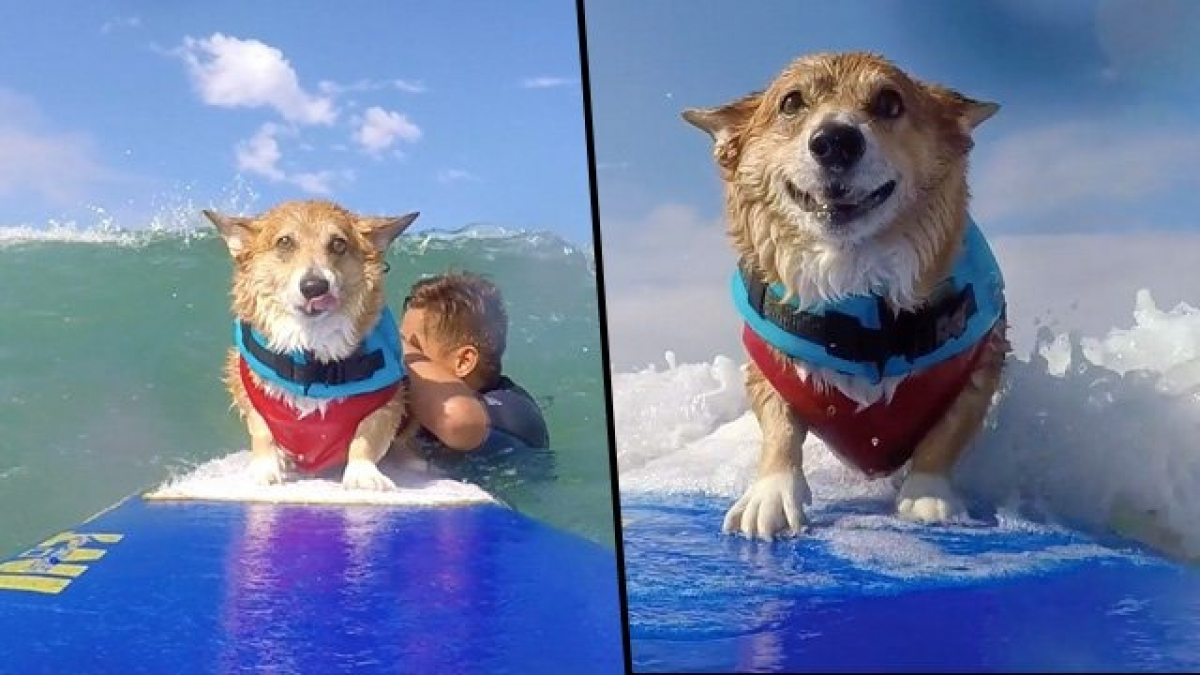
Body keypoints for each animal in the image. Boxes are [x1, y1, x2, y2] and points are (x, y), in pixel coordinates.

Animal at [211, 198, 422, 487]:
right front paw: (265, 469)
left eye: (338, 244)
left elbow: (366, 437)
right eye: (285, 242)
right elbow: (263, 433)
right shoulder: (249, 394)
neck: (311, 346)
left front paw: (363, 474)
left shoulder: (389, 402)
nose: (315, 287)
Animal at [681, 51, 1008, 535]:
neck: (853, 271)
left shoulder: (983, 362)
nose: (836, 140)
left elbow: (946, 435)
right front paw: (770, 496)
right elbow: (780, 430)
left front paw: (928, 496)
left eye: (890, 102)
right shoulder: (766, 368)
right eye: (791, 102)